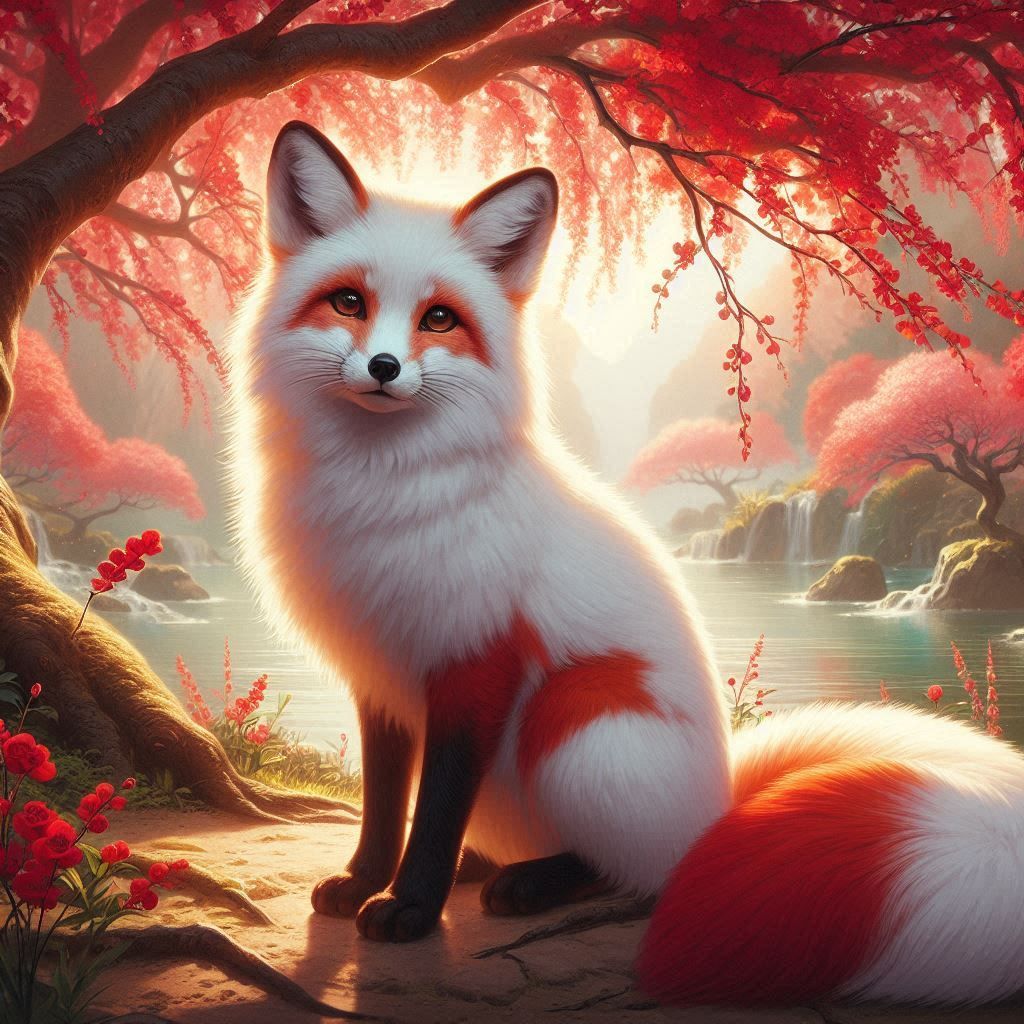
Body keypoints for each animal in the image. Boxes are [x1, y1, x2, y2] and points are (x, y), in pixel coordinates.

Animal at [226, 120, 1024, 1007]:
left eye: (437, 318)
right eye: (349, 303)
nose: (385, 369)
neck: (384, 498)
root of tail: (721, 798)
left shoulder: (474, 665)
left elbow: (433, 812)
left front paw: (410, 909)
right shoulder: (382, 676)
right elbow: (384, 801)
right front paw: (367, 881)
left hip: (571, 715)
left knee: (646, 873)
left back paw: (530, 883)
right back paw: (488, 866)